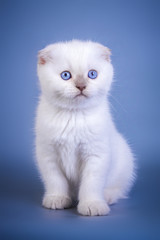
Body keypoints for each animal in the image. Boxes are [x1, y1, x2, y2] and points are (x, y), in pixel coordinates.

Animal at [35, 39, 135, 216]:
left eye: (92, 74)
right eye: (65, 75)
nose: (81, 86)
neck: (74, 116)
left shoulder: (96, 154)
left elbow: (91, 183)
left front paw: (92, 205)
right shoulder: (48, 154)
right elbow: (55, 180)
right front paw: (57, 199)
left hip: (126, 160)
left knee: (118, 188)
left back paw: (107, 197)